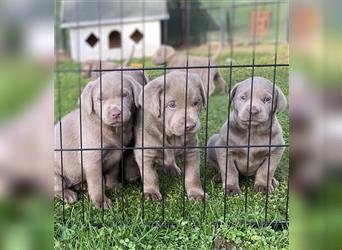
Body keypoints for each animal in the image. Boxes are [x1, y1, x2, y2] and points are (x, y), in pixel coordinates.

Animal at [54, 70, 143, 209]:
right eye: (100, 99)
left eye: (124, 95)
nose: (115, 113)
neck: (113, 130)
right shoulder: (92, 159)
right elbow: (97, 183)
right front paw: (101, 201)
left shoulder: (115, 155)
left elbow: (113, 172)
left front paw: (113, 185)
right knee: (55, 188)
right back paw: (67, 194)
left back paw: (81, 185)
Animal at [135, 70, 207, 201]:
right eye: (172, 105)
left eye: (196, 103)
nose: (190, 126)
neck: (171, 136)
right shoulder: (145, 152)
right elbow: (150, 176)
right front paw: (151, 193)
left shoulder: (192, 150)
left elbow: (193, 175)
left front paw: (196, 193)